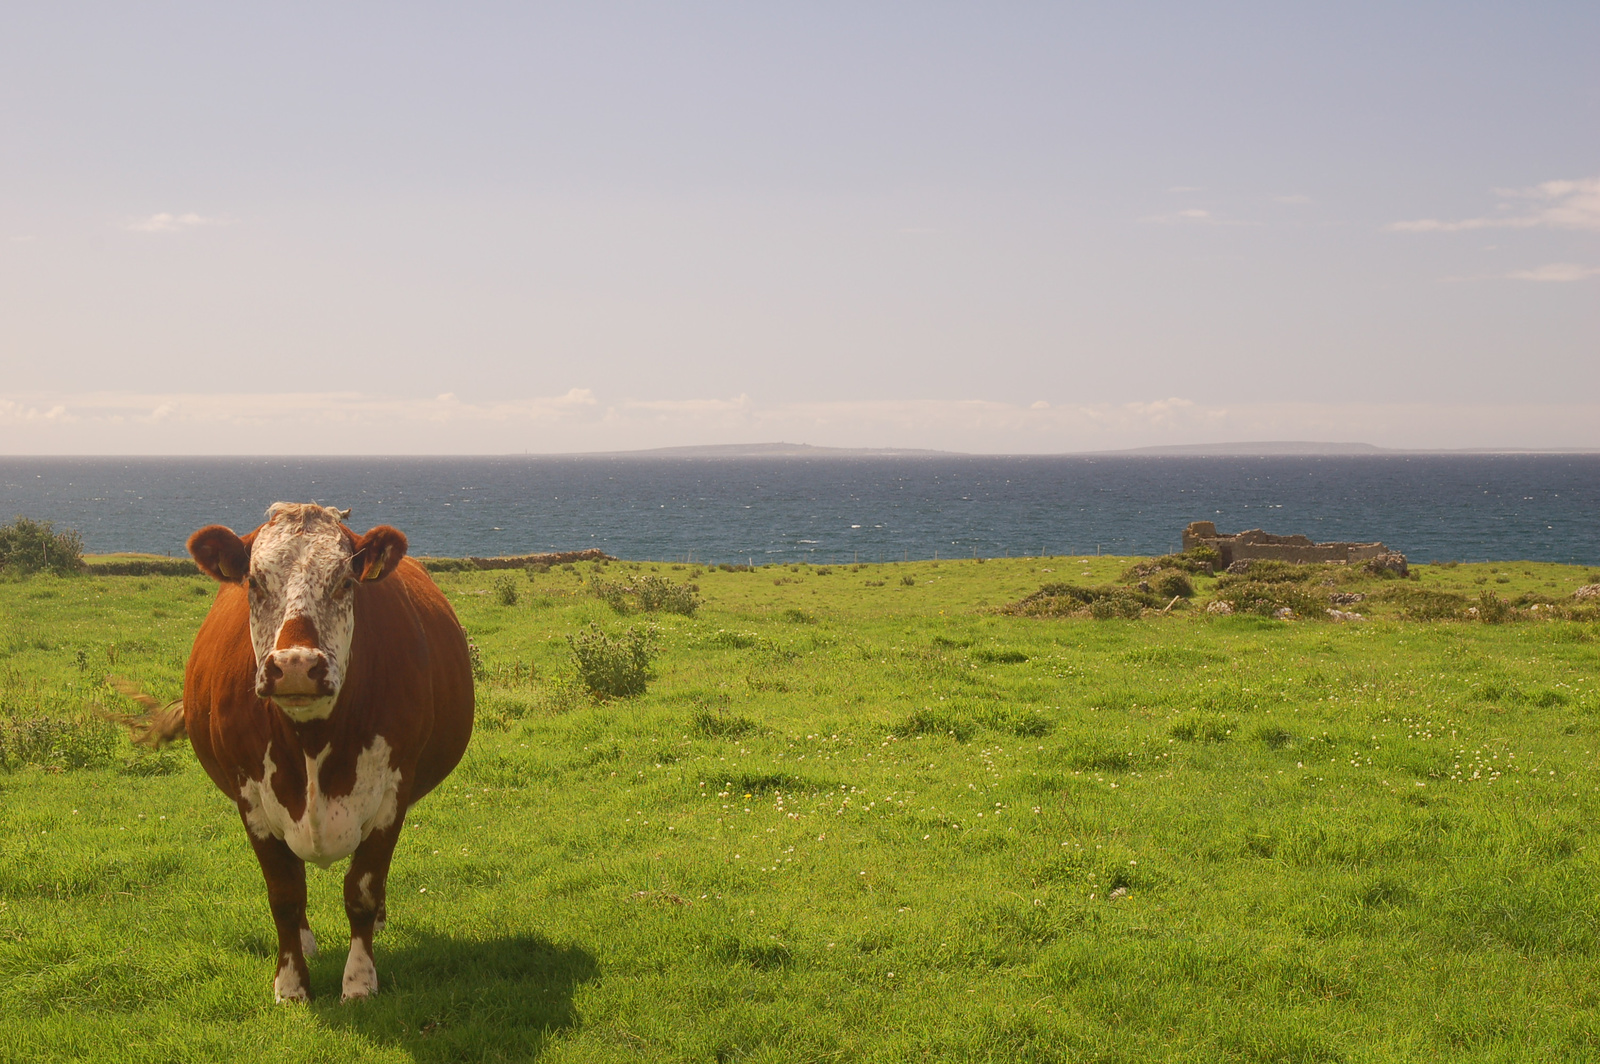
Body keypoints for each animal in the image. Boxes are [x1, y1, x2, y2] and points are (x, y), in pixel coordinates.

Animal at [116, 502, 470, 998]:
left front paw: (358, 982)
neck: (312, 739)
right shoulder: (252, 800)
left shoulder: (392, 793)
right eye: (254, 582)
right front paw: (291, 983)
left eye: (345, 581)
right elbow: (284, 893)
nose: (296, 665)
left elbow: (362, 890)